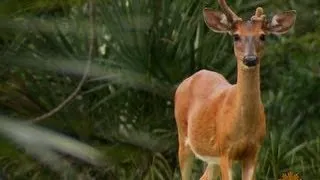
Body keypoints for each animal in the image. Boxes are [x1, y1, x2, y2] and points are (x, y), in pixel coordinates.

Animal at [174, 0, 296, 180]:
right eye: (236, 36)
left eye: (262, 36)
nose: (250, 59)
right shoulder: (225, 151)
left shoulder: (253, 151)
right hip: (183, 138)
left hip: (212, 157)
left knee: (204, 176)